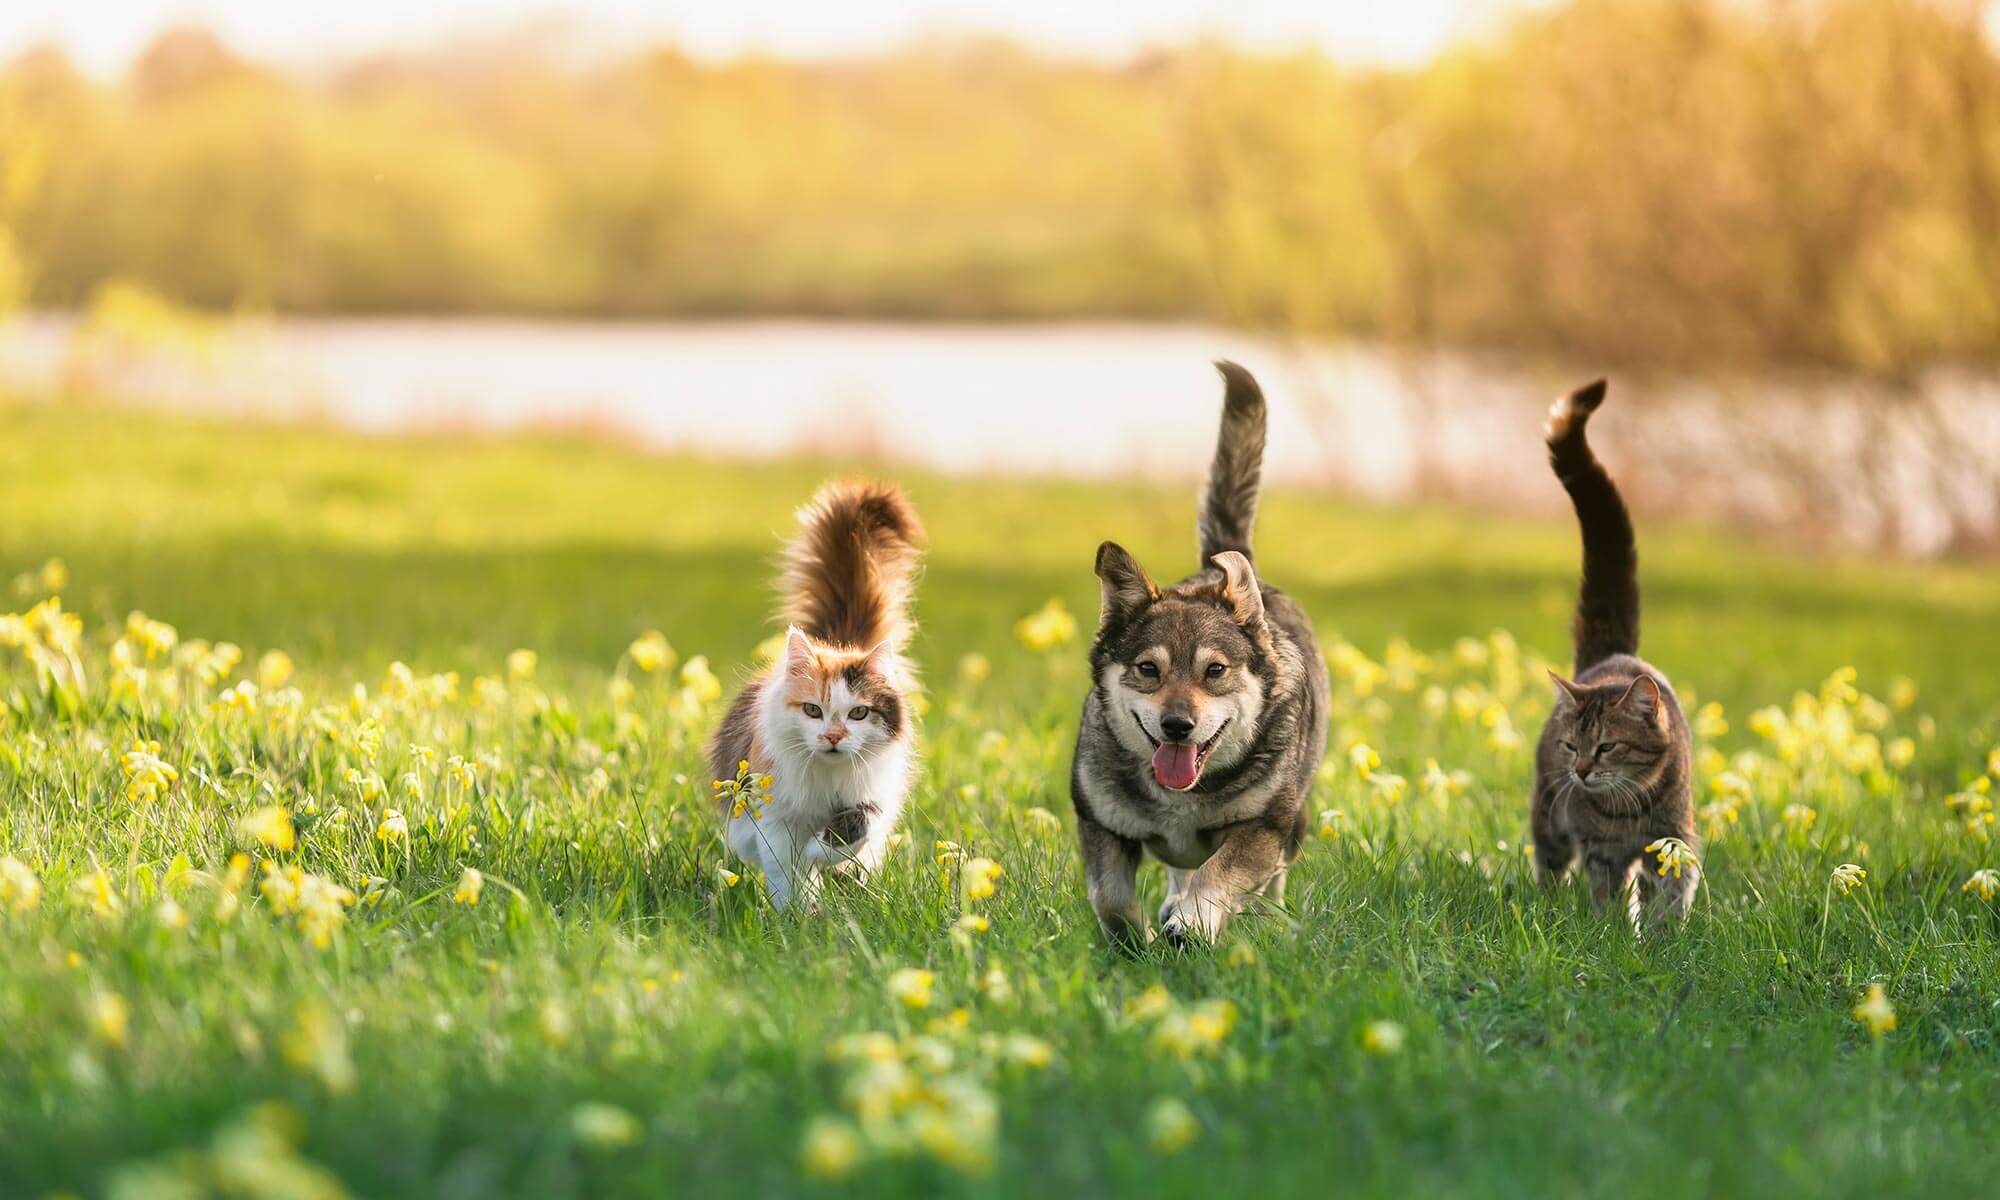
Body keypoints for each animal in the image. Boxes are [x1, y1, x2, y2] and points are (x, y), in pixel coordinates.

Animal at [708, 478, 924, 908]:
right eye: (812, 710)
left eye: (858, 713)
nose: (833, 737)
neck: (828, 778)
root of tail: (838, 643)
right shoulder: (774, 816)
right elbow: (786, 872)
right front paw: (798, 912)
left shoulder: (873, 798)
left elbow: (852, 832)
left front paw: (821, 857)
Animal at [1072, 360, 1336, 944]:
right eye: (1148, 669)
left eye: (1215, 670)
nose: (1177, 726)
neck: (1181, 798)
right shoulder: (1101, 823)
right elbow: (1111, 897)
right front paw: (1137, 939)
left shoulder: (1263, 827)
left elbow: (1224, 872)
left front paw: (1192, 922)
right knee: (1178, 869)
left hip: (1296, 818)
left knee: (1269, 880)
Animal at [1528, 380, 1704, 932]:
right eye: (1571, 747)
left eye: (1606, 747)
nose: (1581, 772)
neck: (1627, 808)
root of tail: (1614, 656)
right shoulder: (1600, 848)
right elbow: (1607, 894)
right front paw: (1613, 935)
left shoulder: (1674, 840)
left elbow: (1672, 891)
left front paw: (1665, 936)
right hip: (1548, 814)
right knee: (1550, 865)